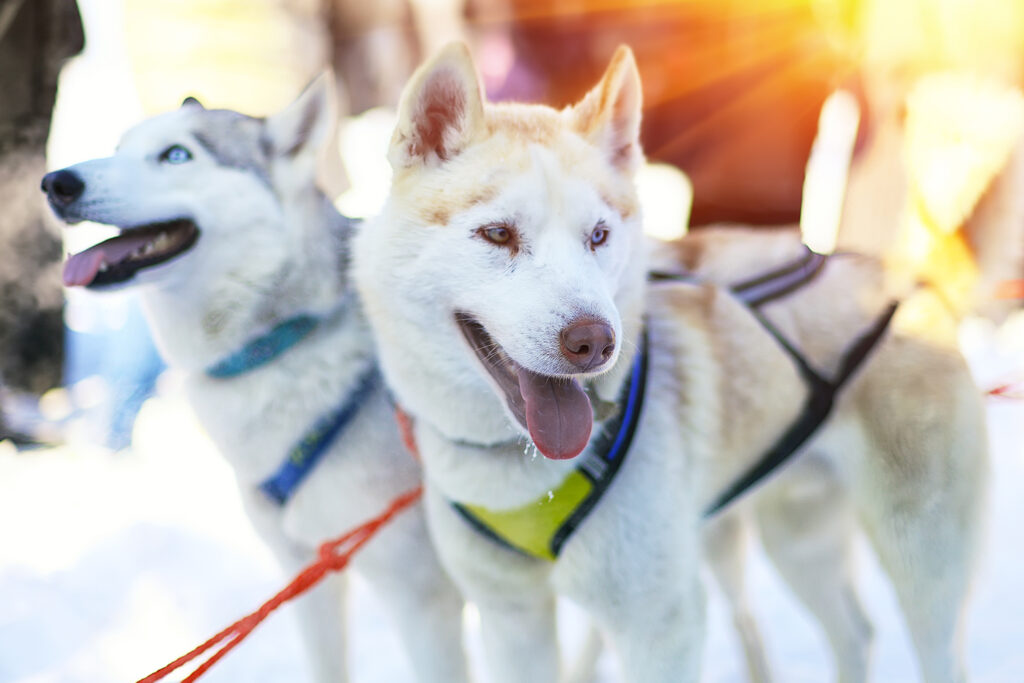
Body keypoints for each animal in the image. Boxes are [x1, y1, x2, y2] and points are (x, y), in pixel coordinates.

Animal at [350, 44, 983, 683]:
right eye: (498, 233)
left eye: (598, 236)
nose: (594, 341)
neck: (520, 476)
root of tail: (902, 276)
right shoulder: (511, 621)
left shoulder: (660, 624)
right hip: (797, 537)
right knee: (854, 630)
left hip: (919, 555)